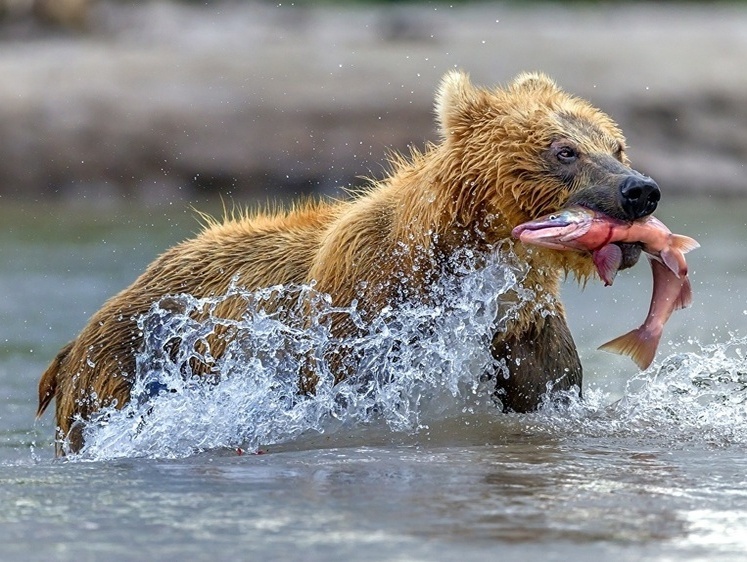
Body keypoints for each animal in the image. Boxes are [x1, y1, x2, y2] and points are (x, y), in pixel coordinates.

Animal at [39, 72, 660, 452]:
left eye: (616, 145)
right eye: (564, 150)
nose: (640, 191)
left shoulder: (521, 322)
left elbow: (545, 389)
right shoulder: (363, 312)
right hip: (124, 369)